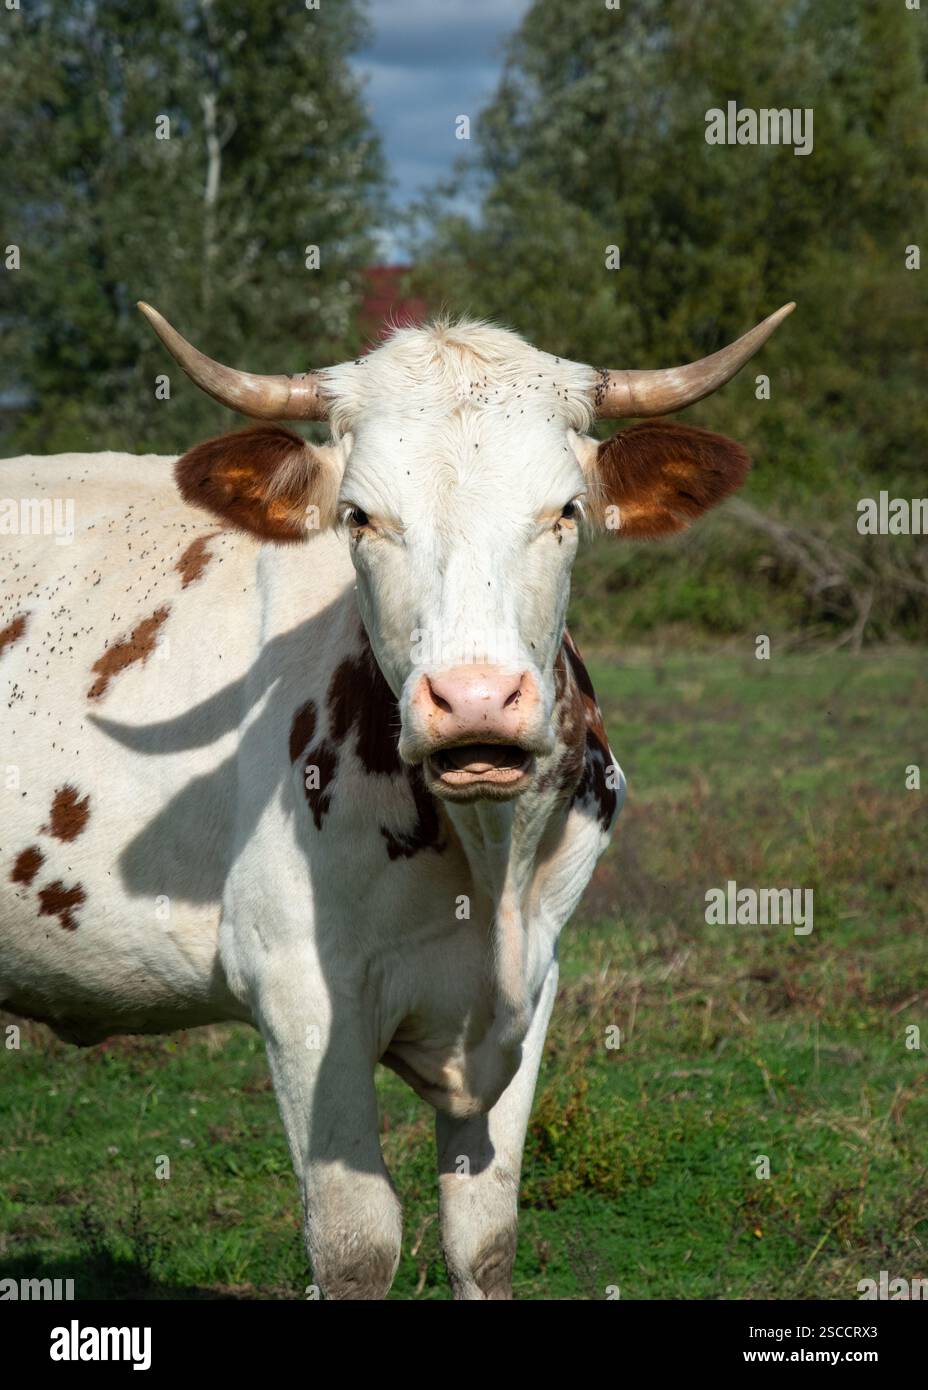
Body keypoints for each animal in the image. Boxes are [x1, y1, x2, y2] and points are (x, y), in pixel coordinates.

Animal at [0, 300, 793, 1298]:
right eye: (359, 516)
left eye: (567, 510)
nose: (477, 702)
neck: (490, 865)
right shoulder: (301, 996)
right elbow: (356, 1245)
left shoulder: (533, 986)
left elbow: (484, 1237)